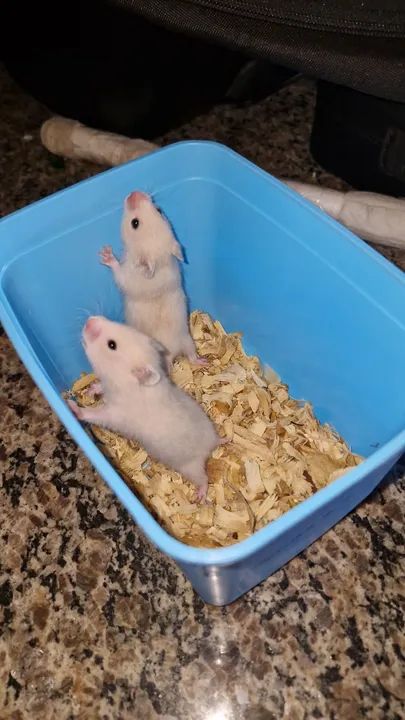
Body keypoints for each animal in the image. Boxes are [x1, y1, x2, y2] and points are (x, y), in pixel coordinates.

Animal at [67, 316, 223, 502]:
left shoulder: (114, 414)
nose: (90, 319)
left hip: (191, 467)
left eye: (112, 345)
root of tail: (212, 444)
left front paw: (72, 406)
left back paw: (200, 497)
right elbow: (100, 388)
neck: (124, 383)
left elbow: (95, 414)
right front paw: (91, 390)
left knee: (203, 479)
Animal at [100, 191, 204, 367]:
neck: (161, 262)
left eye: (135, 223)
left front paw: (105, 254)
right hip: (188, 340)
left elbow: (118, 273)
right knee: (192, 356)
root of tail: (170, 353)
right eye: (159, 210)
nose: (134, 192)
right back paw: (203, 361)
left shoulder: (127, 277)